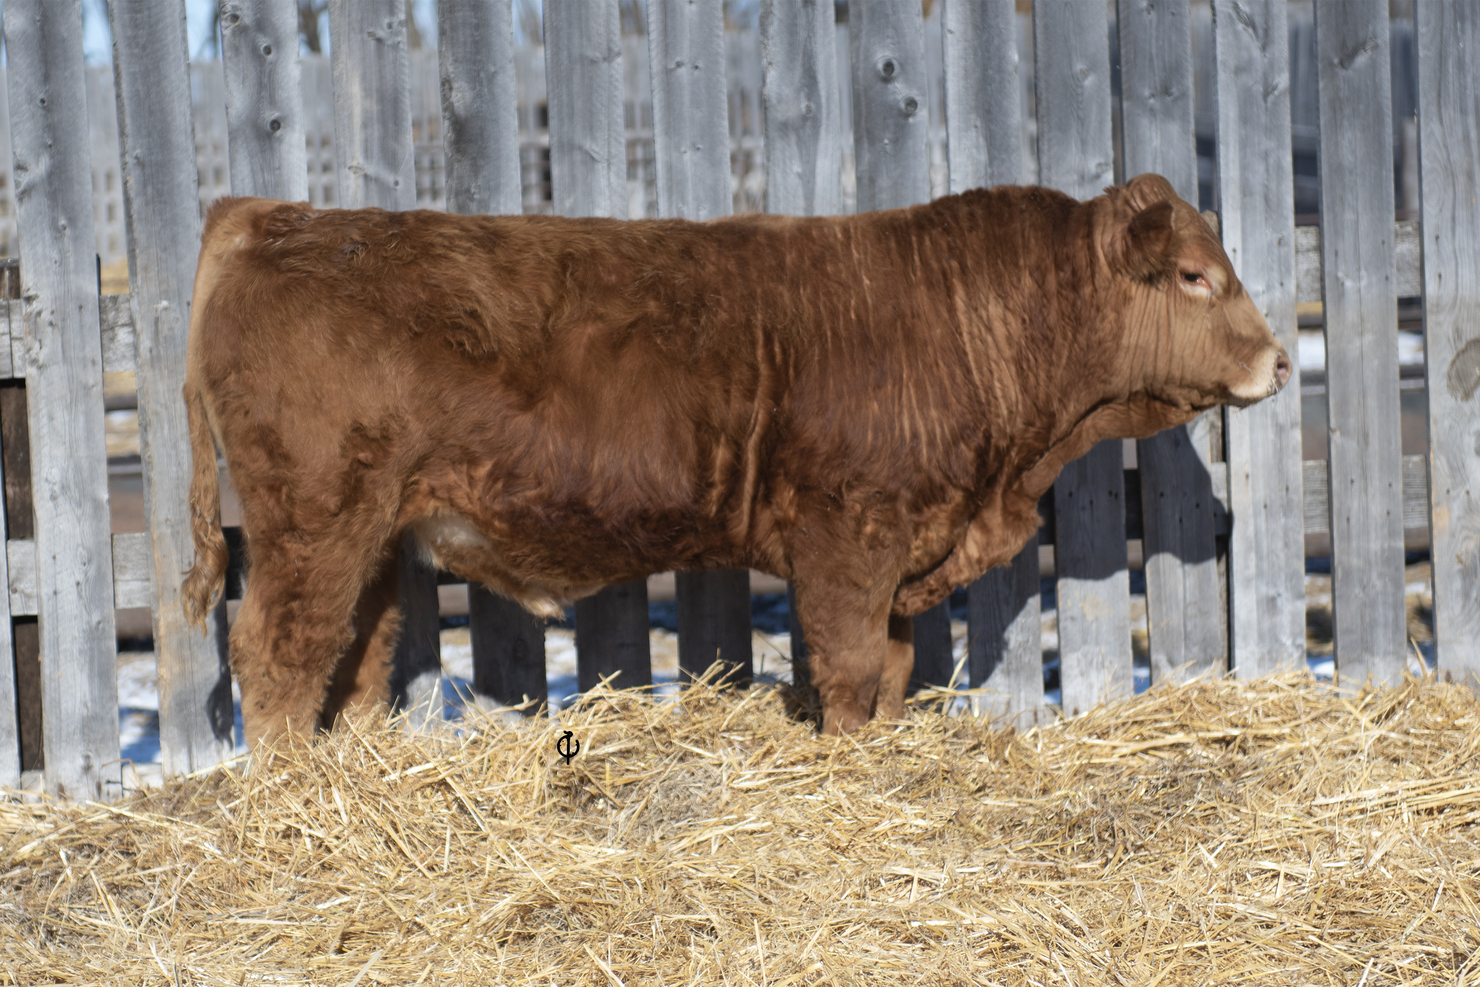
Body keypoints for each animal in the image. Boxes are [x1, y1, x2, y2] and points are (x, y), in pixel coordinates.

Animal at [182, 172, 1289, 748]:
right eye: (1195, 276)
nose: (1280, 360)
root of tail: (275, 217)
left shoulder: (899, 541)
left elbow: (890, 666)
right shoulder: (849, 535)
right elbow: (847, 666)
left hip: (371, 528)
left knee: (355, 653)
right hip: (314, 518)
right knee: (276, 654)